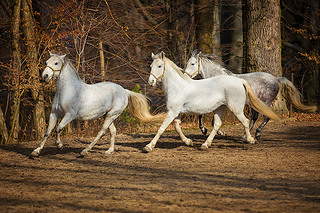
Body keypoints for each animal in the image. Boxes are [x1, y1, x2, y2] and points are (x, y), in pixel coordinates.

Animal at [31, 52, 166, 157]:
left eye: (56, 63)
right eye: (47, 61)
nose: (45, 76)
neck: (67, 91)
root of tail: (124, 91)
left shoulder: (70, 115)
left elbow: (58, 128)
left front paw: (59, 145)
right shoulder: (54, 114)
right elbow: (47, 132)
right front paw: (36, 151)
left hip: (111, 115)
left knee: (102, 132)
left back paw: (85, 151)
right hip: (108, 115)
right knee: (113, 131)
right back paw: (109, 151)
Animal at [143, 51, 280, 151]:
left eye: (159, 66)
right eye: (150, 66)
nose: (151, 82)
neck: (177, 87)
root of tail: (240, 81)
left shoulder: (172, 112)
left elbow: (161, 128)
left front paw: (148, 147)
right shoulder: (177, 112)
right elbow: (177, 127)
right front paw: (188, 142)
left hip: (236, 108)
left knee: (247, 121)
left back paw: (250, 139)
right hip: (220, 108)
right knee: (217, 124)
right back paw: (205, 144)